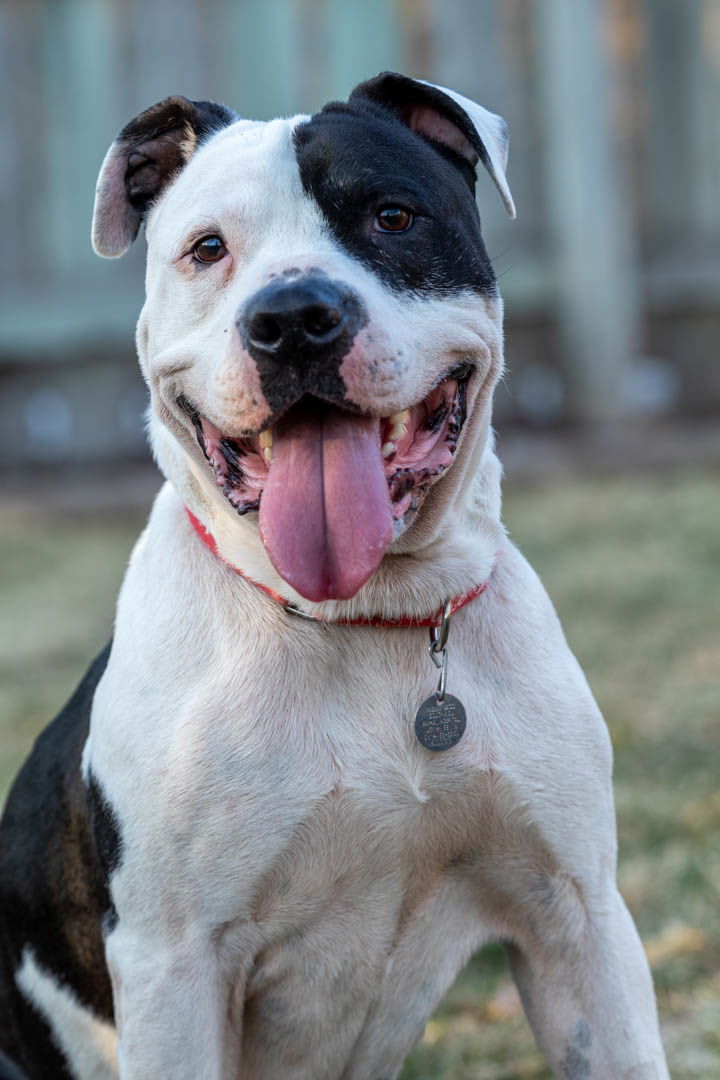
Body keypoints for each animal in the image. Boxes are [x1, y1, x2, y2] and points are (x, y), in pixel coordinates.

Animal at [0, 73, 669, 1080]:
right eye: (207, 248)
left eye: (392, 216)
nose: (292, 319)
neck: (368, 621)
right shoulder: (173, 965)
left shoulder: (578, 919)